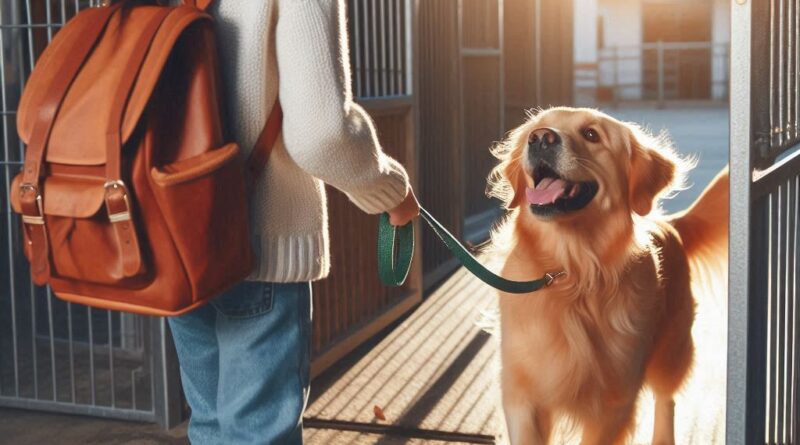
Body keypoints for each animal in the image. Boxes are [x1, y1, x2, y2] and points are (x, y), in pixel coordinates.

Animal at [484, 107, 728, 444]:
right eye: (537, 129)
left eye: (591, 134)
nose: (541, 138)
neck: (573, 273)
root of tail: (671, 223)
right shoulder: (522, 394)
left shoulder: (615, 401)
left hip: (672, 348)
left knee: (666, 398)